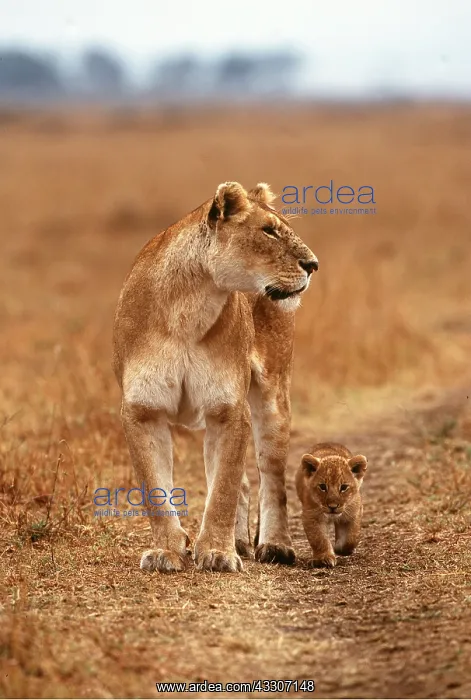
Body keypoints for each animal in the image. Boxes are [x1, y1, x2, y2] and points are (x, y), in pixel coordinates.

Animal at [112, 181, 318, 573]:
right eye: (268, 230)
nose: (314, 264)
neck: (189, 305)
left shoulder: (228, 409)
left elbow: (222, 488)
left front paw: (218, 554)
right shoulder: (143, 410)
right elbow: (156, 490)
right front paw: (167, 551)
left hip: (273, 395)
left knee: (270, 475)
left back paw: (274, 546)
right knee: (243, 483)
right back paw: (238, 540)